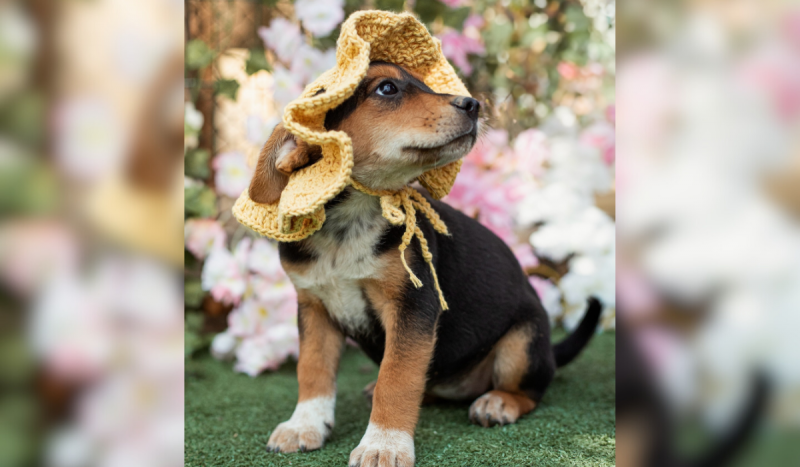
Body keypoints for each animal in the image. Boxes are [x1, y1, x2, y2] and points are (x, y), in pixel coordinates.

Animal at [250, 63, 600, 467]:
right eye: (387, 89)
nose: (474, 105)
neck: (351, 219)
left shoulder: (412, 306)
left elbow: (397, 379)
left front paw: (383, 445)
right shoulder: (314, 306)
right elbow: (313, 370)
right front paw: (304, 425)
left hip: (524, 341)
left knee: (529, 390)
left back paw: (498, 402)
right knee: (428, 380)